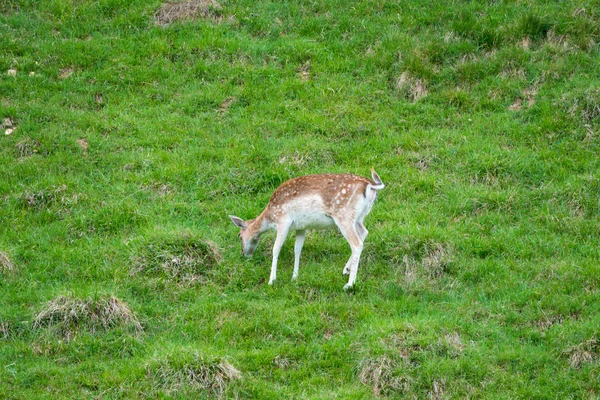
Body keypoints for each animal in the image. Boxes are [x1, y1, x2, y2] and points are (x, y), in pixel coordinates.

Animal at [230, 170, 384, 290]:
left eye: (239, 235)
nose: (244, 254)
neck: (270, 217)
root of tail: (369, 185)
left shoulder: (283, 221)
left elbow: (276, 248)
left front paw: (272, 280)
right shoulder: (301, 227)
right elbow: (297, 249)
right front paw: (294, 277)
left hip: (344, 216)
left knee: (356, 243)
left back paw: (349, 284)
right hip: (359, 217)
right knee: (364, 232)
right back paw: (346, 270)